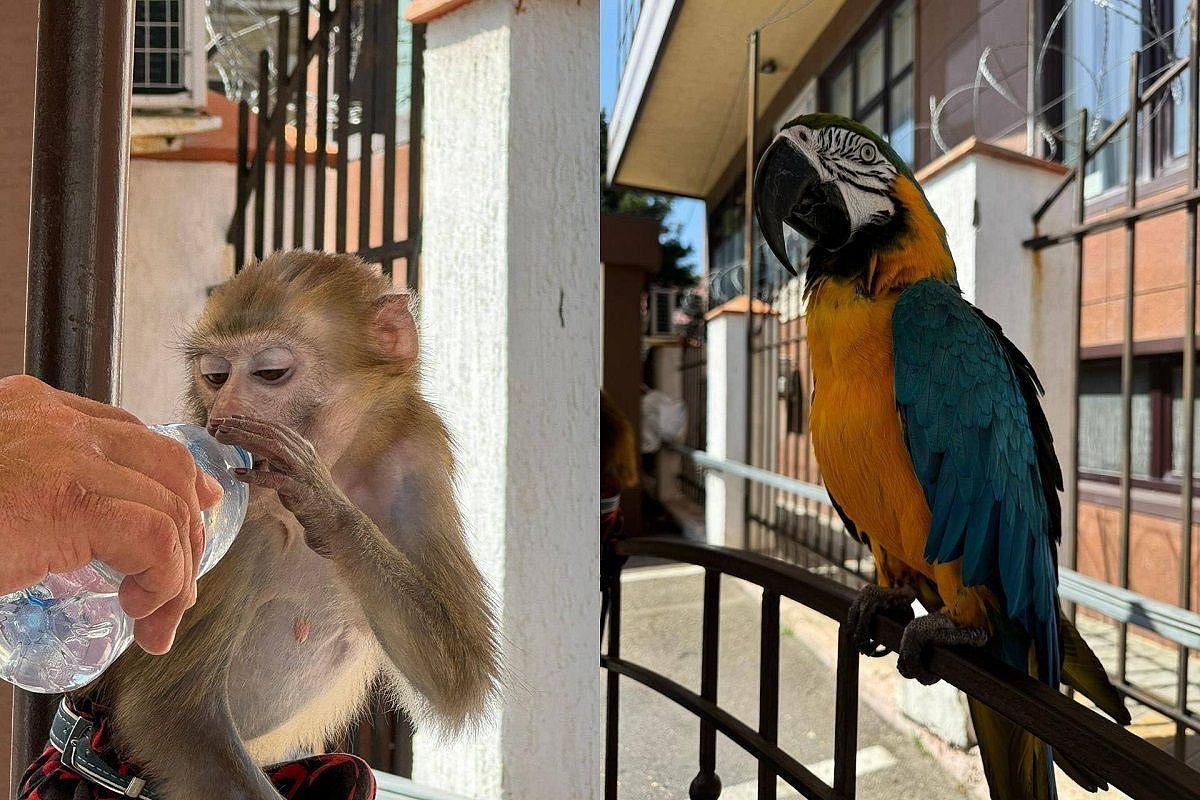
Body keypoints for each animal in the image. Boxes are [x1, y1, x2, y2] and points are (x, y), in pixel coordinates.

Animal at [69, 250, 501, 800]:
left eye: (270, 372)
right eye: (216, 375)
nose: (222, 418)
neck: (340, 461)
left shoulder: (416, 454)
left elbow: (458, 676)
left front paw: (321, 501)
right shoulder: (233, 520)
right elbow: (171, 713)